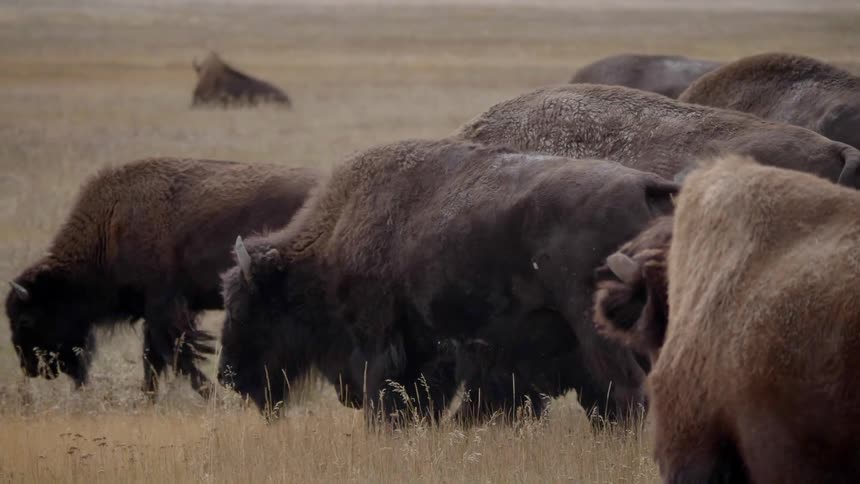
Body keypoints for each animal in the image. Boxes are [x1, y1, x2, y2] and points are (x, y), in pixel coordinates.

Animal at [6, 157, 317, 398]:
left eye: (25, 320)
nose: (28, 367)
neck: (112, 225)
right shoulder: (156, 311)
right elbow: (153, 358)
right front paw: (149, 398)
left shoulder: (164, 308)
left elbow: (174, 354)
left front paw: (212, 395)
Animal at [217, 139, 678, 425]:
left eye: (242, 308)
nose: (227, 376)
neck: (336, 234)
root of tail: (645, 185)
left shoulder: (381, 342)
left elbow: (387, 402)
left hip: (598, 330)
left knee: (629, 393)